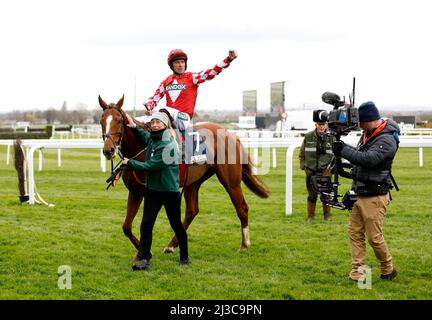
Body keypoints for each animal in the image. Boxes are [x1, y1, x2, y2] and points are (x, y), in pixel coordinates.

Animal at [98, 95, 270, 258]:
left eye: (119, 120)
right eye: (101, 120)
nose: (108, 150)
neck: (142, 147)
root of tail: (232, 135)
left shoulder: (150, 192)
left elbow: (144, 224)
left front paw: (144, 252)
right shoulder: (135, 191)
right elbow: (126, 226)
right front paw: (143, 251)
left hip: (231, 182)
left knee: (242, 208)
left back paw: (244, 244)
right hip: (193, 182)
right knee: (192, 211)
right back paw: (172, 245)